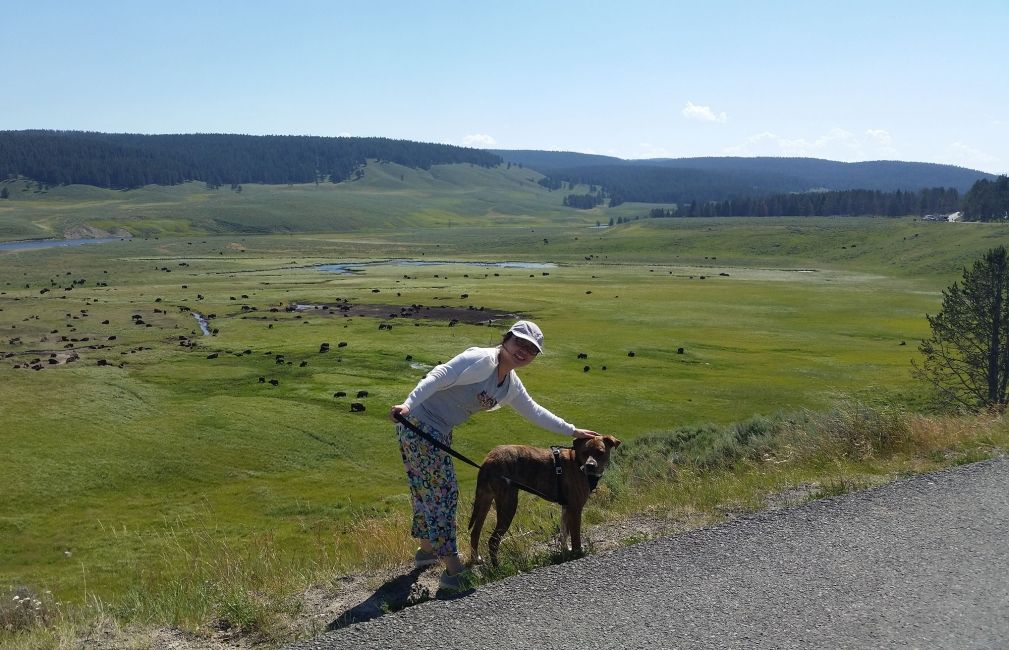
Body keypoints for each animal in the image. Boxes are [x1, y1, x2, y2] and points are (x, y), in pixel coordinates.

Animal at [468, 434, 617, 565]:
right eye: (585, 452)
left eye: (600, 452)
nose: (590, 465)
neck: (577, 461)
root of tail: (488, 460)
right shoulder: (575, 508)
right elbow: (575, 536)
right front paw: (577, 553)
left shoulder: (566, 508)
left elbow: (564, 533)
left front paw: (566, 550)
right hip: (508, 505)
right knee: (493, 540)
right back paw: (496, 567)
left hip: (485, 501)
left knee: (475, 532)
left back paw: (476, 559)